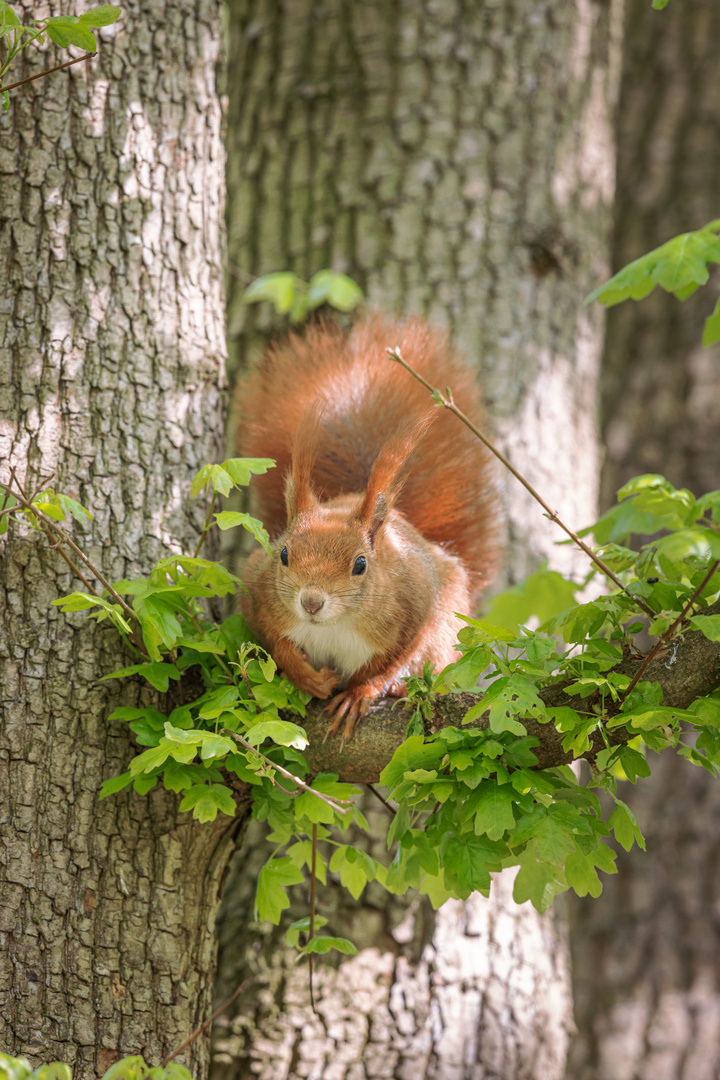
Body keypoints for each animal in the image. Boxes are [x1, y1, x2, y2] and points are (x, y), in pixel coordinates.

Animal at [239, 313, 498, 734]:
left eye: (360, 564)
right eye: (283, 555)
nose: (311, 602)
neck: (334, 625)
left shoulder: (416, 606)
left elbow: (391, 660)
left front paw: (362, 692)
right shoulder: (257, 591)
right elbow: (275, 644)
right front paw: (307, 677)